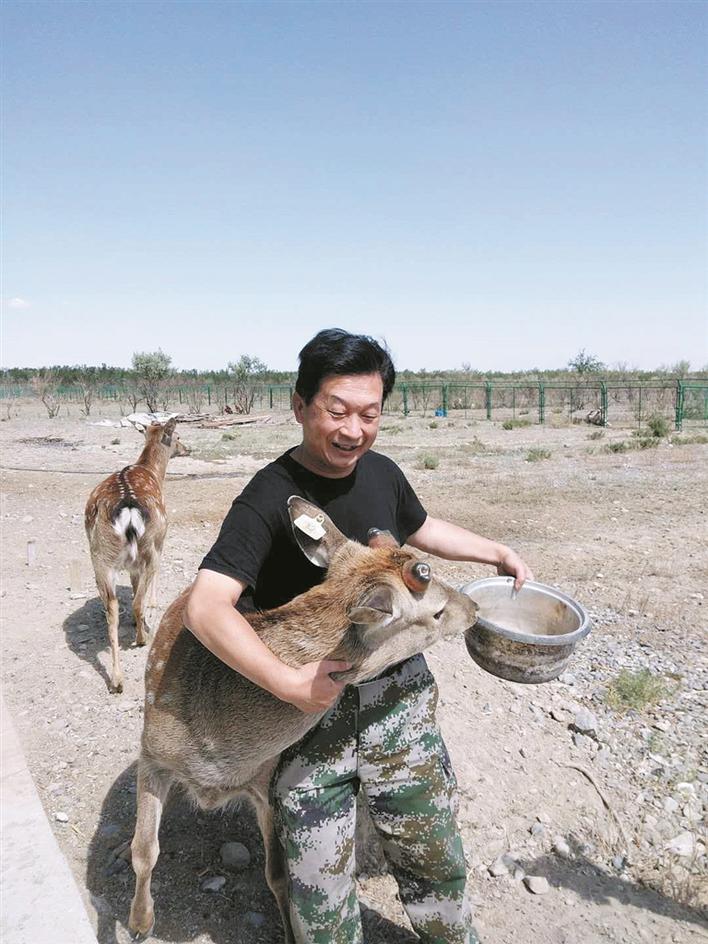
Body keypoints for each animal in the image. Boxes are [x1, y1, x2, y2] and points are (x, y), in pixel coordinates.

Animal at [84, 418, 189, 692]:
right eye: (178, 436)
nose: (188, 448)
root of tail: (128, 509)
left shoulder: (130, 564)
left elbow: (132, 585)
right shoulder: (161, 541)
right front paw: (152, 606)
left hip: (100, 557)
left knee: (111, 607)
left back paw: (117, 679)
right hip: (149, 546)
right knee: (137, 601)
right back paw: (143, 638)